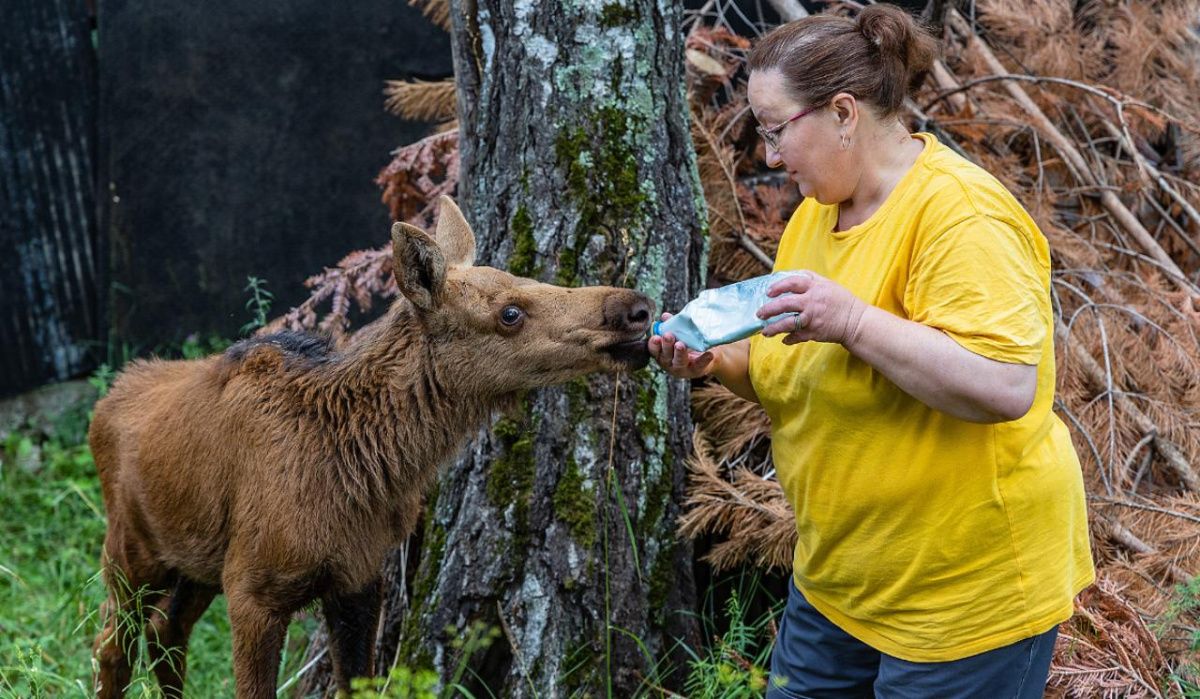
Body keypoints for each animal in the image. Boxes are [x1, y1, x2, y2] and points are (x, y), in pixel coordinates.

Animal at [88, 198, 652, 699]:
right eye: (510, 313)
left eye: (530, 280)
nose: (637, 309)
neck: (368, 467)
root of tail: (106, 401)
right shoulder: (254, 590)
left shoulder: (358, 581)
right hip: (130, 554)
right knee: (110, 647)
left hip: (192, 564)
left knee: (165, 634)